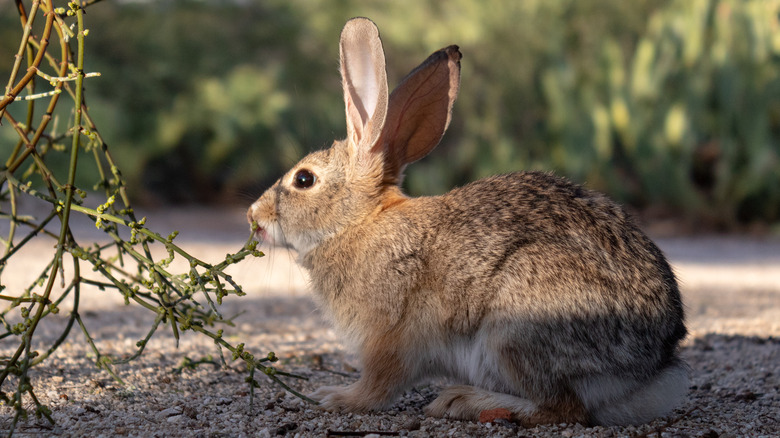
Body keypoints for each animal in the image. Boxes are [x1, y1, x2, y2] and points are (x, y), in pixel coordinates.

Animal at [245, 18, 688, 428]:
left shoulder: (389, 339)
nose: (254, 215)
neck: (357, 223)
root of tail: (651, 370)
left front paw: (335, 397)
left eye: (304, 180)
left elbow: (377, 386)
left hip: (516, 325)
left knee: (563, 408)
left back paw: (464, 401)